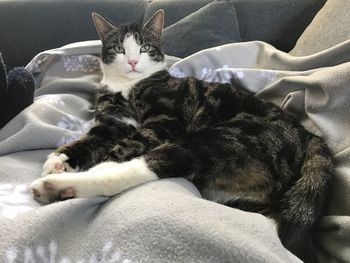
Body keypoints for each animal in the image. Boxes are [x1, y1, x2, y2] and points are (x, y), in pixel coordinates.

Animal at [30, 9, 334, 262]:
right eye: (118, 48)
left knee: (146, 165)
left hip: (218, 139)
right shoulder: (111, 124)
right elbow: (88, 140)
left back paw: (58, 186)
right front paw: (59, 159)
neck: (129, 86)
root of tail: (308, 135)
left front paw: (94, 161)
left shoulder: (163, 123)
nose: (132, 61)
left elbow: (125, 148)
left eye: (144, 47)